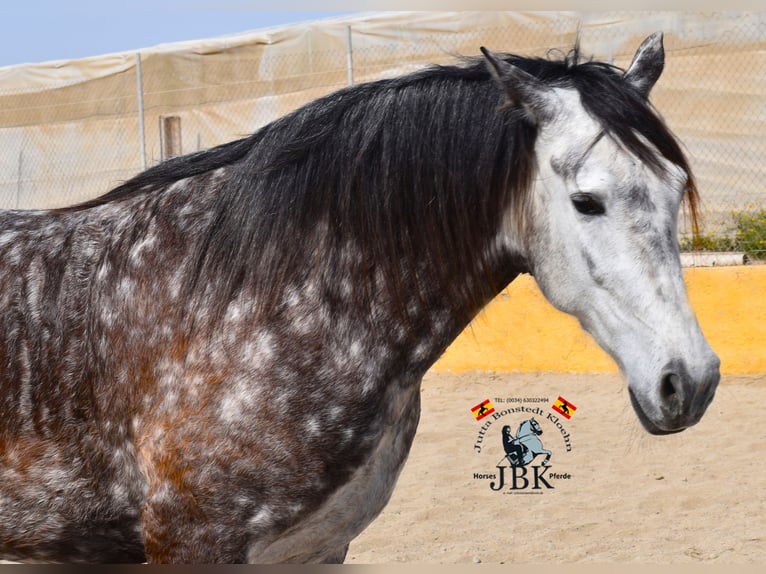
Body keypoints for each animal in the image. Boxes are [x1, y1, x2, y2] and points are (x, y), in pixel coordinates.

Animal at [0, 33, 720, 564]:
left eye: (673, 184)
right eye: (586, 201)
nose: (691, 380)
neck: (255, 309)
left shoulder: (317, 550)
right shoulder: (192, 544)